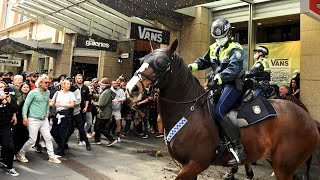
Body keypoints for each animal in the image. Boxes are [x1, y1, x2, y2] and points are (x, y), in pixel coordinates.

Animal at [126, 39, 318, 180]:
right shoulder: (187, 165)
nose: (131, 88)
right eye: (142, 60)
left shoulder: (196, 163)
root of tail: (310, 119)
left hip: (284, 167)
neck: (190, 113)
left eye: (161, 62)